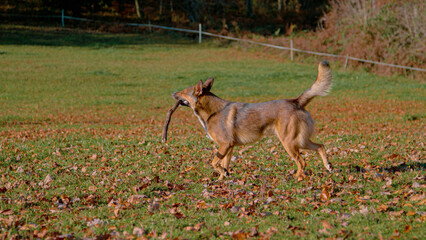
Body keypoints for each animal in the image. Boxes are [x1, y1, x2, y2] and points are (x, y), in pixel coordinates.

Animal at [173, 60, 332, 180]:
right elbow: (223, 164)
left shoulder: (224, 144)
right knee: (320, 147)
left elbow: (214, 162)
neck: (213, 111)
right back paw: (328, 166)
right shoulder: (229, 147)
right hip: (300, 141)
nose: (173, 93)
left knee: (302, 162)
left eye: (183, 91)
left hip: (289, 142)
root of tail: (296, 101)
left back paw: (297, 178)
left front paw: (222, 175)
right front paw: (222, 179)